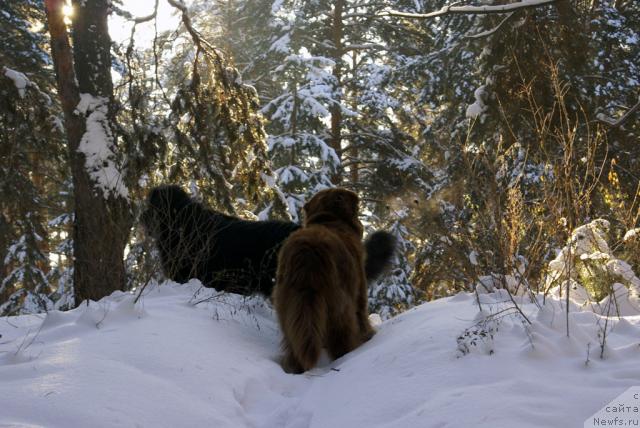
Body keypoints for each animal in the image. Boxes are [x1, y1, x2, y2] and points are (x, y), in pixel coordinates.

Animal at [272, 189, 376, 372]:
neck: (330, 219)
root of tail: (308, 251)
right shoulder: (360, 291)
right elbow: (362, 316)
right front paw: (368, 336)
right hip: (341, 307)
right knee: (341, 340)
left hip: (290, 307)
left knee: (294, 343)